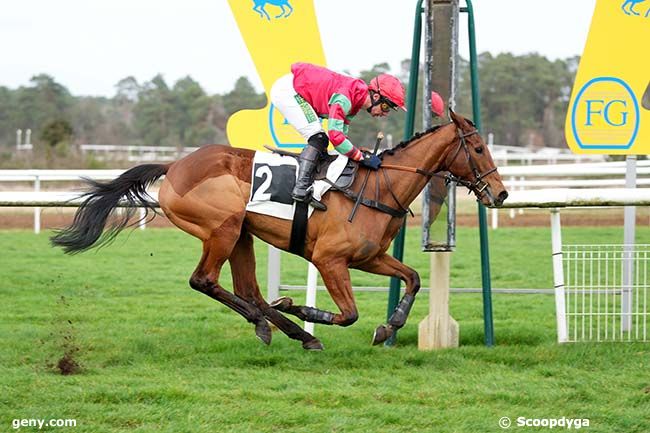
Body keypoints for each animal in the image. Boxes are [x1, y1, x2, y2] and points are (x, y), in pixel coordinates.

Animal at [52, 109, 506, 350]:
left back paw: (282, 327)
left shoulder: (370, 257)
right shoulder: (329, 259)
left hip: (241, 234)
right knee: (204, 280)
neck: (378, 186)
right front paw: (304, 310)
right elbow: (348, 314)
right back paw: (278, 323)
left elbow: (411, 278)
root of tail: (175, 165)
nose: (500, 193)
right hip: (222, 228)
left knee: (246, 289)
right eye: (478, 148)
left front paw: (388, 326)